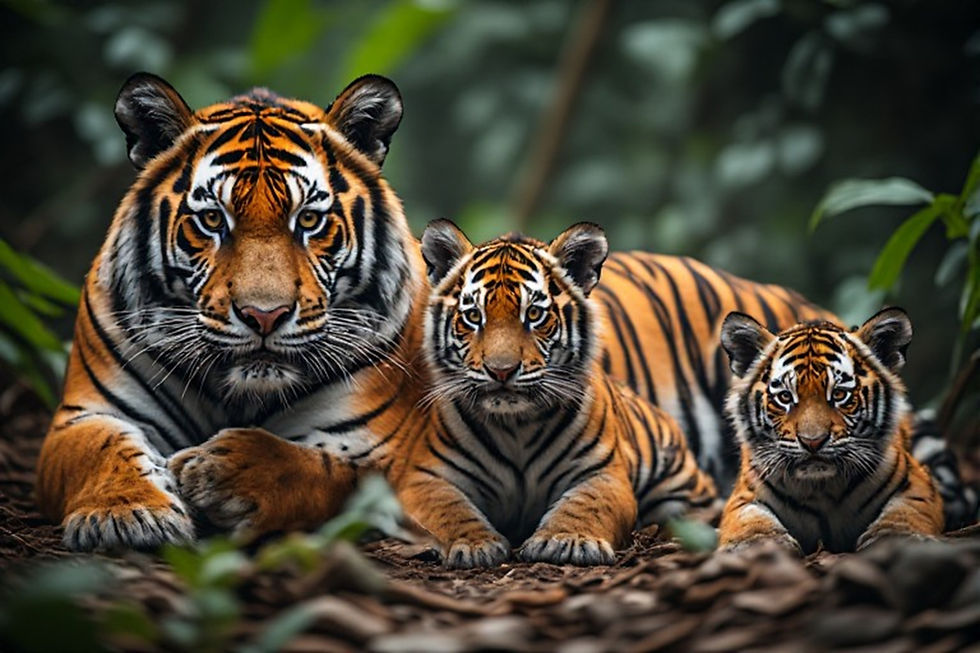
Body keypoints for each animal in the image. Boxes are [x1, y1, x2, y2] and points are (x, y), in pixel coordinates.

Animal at [401, 220, 717, 567]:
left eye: (534, 315)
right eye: (473, 317)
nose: (501, 371)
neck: (515, 427)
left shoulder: (602, 473)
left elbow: (587, 505)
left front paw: (566, 540)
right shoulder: (426, 478)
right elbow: (447, 511)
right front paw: (473, 544)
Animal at [717, 309, 945, 553]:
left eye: (839, 394)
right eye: (785, 397)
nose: (813, 442)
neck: (822, 489)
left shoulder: (917, 484)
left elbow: (906, 511)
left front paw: (897, 536)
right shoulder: (744, 496)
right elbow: (749, 519)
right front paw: (756, 543)